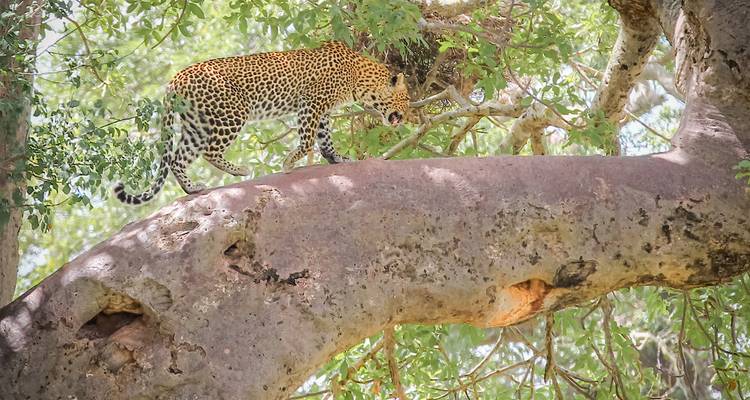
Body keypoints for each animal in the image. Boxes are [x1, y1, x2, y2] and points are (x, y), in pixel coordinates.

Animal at [114, 41, 409, 205]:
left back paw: (193, 187)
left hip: (197, 124)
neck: (360, 80)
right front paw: (290, 162)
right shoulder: (311, 104)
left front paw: (337, 159)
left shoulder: (323, 111)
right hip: (231, 114)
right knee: (209, 151)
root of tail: (175, 79)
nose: (406, 116)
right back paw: (239, 170)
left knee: (178, 158)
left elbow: (325, 140)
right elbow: (307, 139)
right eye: (406, 99)